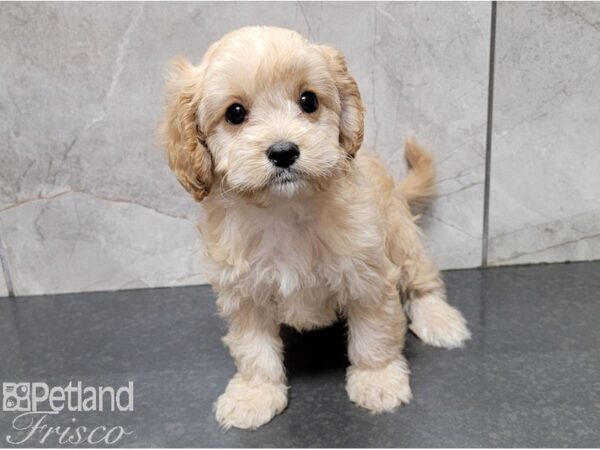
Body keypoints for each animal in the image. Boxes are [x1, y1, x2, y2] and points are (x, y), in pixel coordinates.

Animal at [162, 26, 472, 430]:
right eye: (235, 113)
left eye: (308, 101)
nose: (283, 151)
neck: (286, 210)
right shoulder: (243, 292)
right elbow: (253, 348)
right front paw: (254, 394)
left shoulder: (369, 276)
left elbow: (375, 334)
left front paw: (378, 380)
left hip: (402, 237)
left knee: (424, 281)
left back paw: (439, 320)